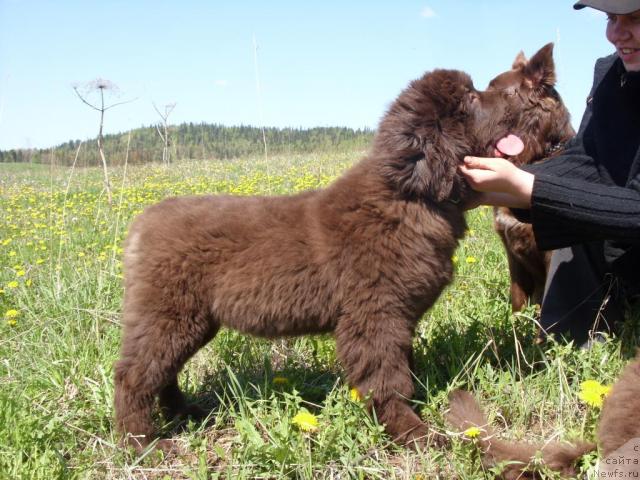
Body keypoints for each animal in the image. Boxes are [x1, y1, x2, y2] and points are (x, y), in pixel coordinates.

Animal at [114, 43, 568, 452]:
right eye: (473, 97)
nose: (523, 102)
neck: (410, 197)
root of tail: (142, 223)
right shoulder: (375, 315)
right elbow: (388, 379)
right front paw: (414, 434)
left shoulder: (396, 316)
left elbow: (402, 369)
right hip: (168, 315)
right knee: (134, 375)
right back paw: (143, 443)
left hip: (188, 319)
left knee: (162, 371)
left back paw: (184, 413)